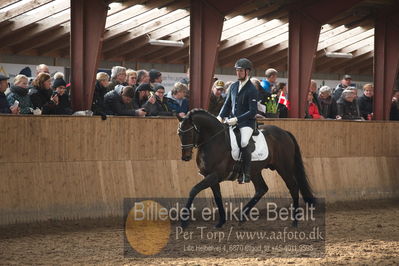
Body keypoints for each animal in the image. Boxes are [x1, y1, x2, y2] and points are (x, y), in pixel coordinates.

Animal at [178, 109, 316, 228]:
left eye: (189, 132)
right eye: (179, 133)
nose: (185, 157)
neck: (214, 140)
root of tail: (284, 132)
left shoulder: (215, 175)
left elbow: (194, 190)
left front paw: (184, 221)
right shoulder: (210, 177)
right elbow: (217, 197)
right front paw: (221, 222)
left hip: (284, 167)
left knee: (293, 187)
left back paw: (295, 221)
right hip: (255, 171)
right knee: (261, 189)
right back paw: (242, 216)